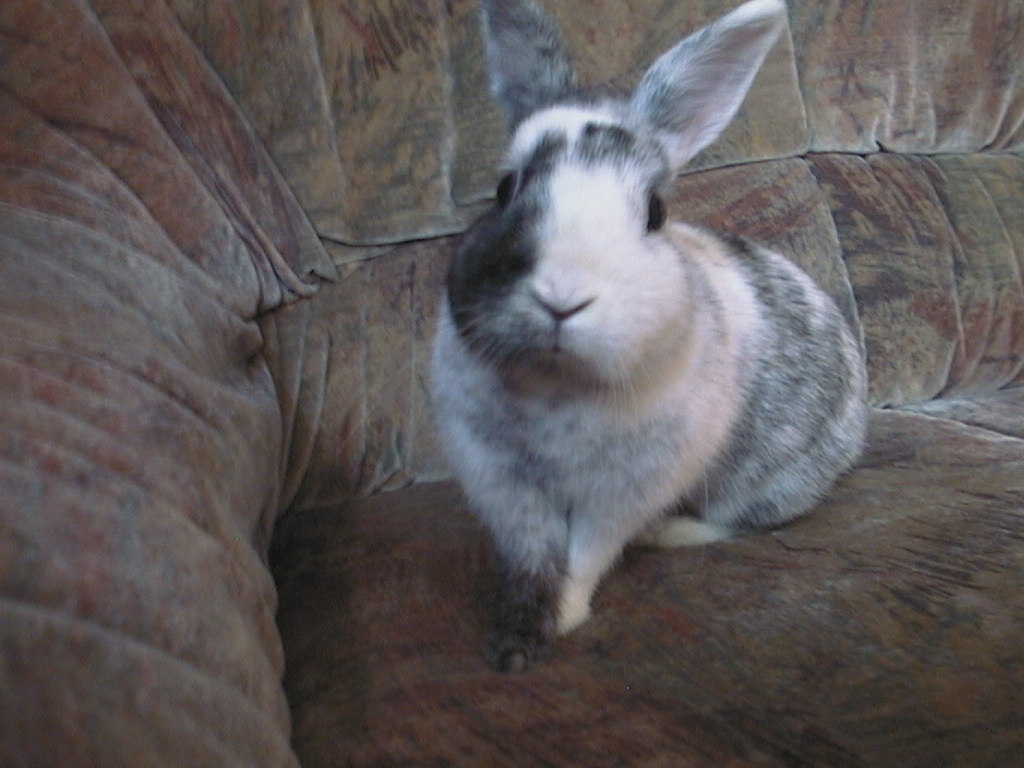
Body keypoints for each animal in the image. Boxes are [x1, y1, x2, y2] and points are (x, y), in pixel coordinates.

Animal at [431, 0, 868, 673]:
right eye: (505, 190)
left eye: (655, 213)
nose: (563, 297)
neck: (557, 387)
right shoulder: (504, 485)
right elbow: (532, 558)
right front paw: (514, 641)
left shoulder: (622, 493)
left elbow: (585, 556)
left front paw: (562, 618)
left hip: (773, 481)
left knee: (742, 521)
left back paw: (669, 532)